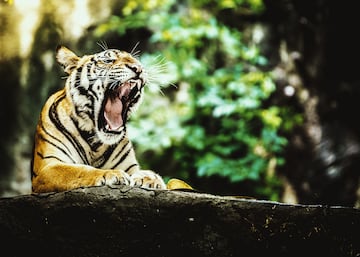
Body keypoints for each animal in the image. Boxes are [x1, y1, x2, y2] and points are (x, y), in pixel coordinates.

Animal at [31, 45, 169, 192]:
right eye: (108, 60)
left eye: (137, 61)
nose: (138, 68)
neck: (95, 142)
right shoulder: (47, 167)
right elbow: (79, 170)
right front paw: (111, 173)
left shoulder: (129, 166)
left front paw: (150, 178)